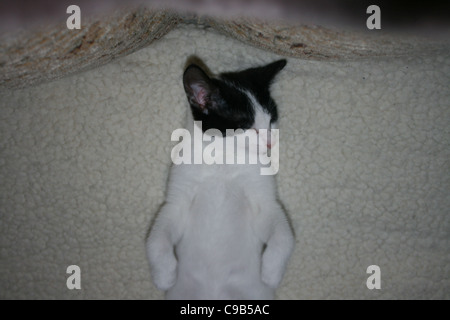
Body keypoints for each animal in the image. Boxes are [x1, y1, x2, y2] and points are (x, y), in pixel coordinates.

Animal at [146, 58, 296, 300]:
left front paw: (271, 272)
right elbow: (156, 237)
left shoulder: (263, 201)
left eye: (271, 119)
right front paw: (164, 275)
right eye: (246, 124)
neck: (223, 159)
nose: (270, 142)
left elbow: (284, 235)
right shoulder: (178, 198)